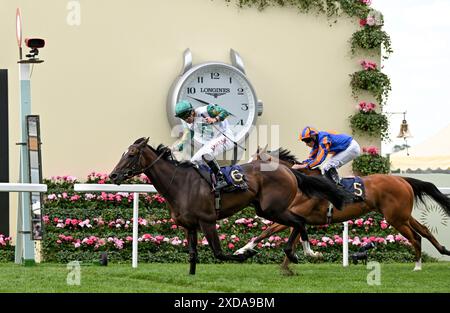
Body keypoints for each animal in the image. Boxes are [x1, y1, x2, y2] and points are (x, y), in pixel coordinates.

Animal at [108, 137, 348, 272]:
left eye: (131, 154)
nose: (113, 175)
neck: (180, 184)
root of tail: (289, 170)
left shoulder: (207, 221)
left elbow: (219, 253)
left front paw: (245, 254)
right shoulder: (189, 226)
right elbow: (193, 255)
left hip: (273, 209)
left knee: (298, 222)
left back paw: (298, 253)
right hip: (266, 209)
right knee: (299, 222)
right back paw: (303, 252)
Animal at [236, 147, 450, 272]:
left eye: (254, 163)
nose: (241, 174)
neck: (302, 184)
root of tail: (402, 179)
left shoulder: (298, 217)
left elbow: (278, 234)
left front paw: (309, 255)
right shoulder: (294, 218)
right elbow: (271, 233)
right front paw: (244, 250)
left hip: (396, 218)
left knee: (415, 237)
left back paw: (418, 266)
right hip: (403, 215)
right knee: (424, 230)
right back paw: (443, 251)